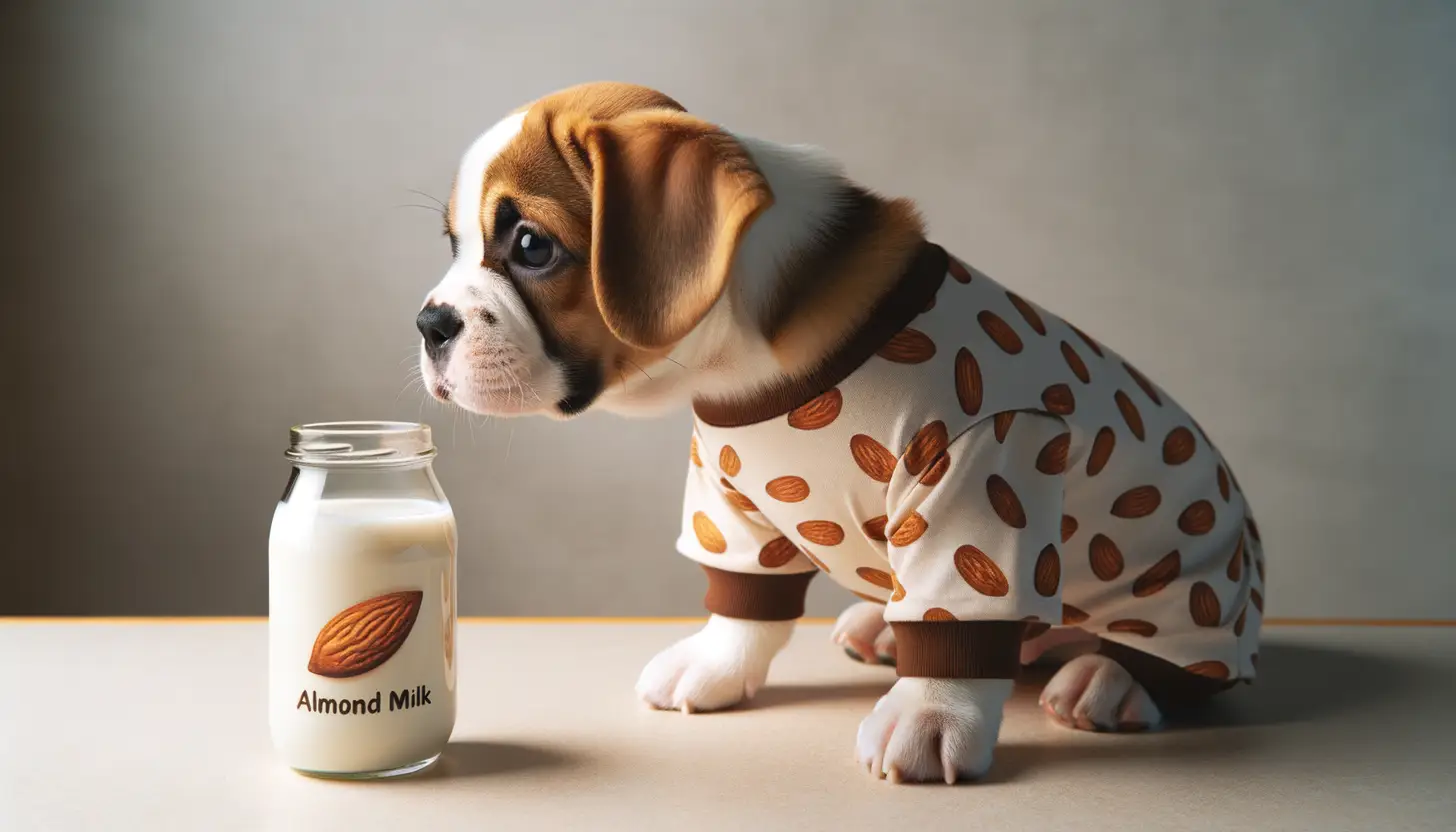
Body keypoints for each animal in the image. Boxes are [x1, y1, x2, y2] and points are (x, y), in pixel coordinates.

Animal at [416, 81, 1257, 786]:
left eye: (531, 246)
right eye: (453, 244)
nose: (429, 324)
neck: (740, 358)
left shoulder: (979, 485)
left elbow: (955, 625)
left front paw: (929, 716)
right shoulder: (729, 497)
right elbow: (743, 601)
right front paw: (715, 664)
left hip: (1188, 595)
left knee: (1166, 659)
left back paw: (1108, 680)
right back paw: (883, 628)